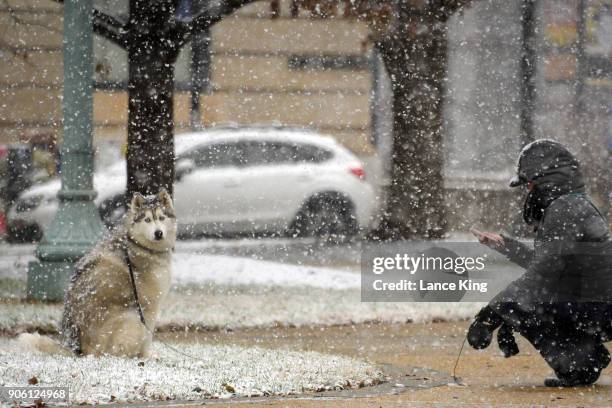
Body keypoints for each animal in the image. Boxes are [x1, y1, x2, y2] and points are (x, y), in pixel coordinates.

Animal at [19, 189, 176, 356]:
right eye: (147, 220)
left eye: (161, 218)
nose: (158, 233)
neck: (138, 244)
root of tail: (77, 348)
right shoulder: (149, 308)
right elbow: (148, 338)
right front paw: (146, 357)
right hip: (132, 317)